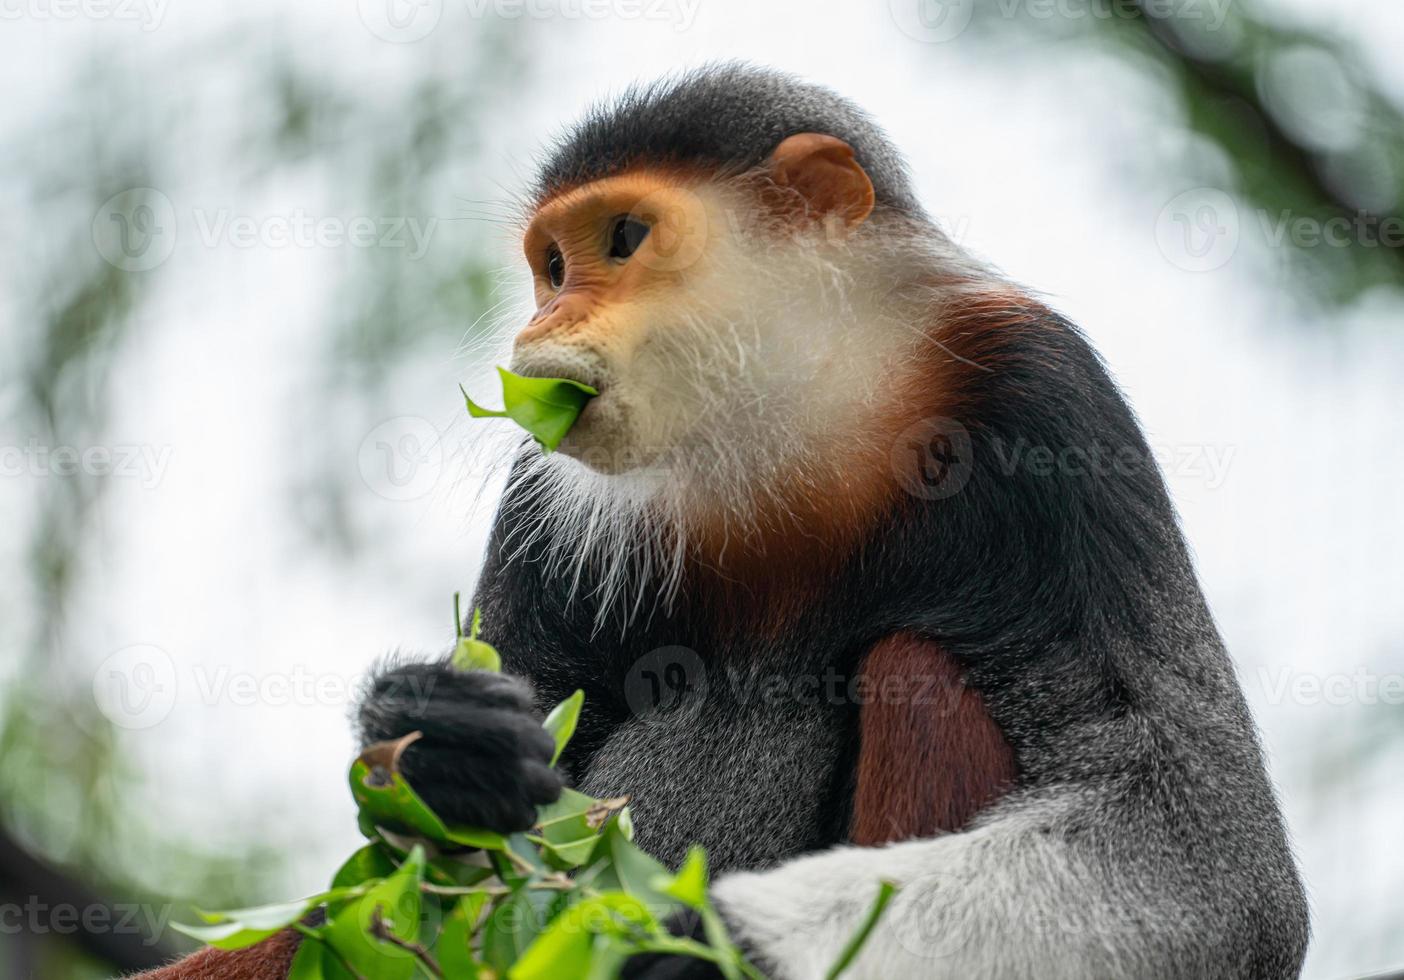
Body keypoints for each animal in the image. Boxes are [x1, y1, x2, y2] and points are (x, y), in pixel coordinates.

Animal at [131, 62, 1302, 977]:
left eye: (623, 237)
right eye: (553, 266)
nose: (546, 319)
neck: (801, 419)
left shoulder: (1044, 395)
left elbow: (1216, 871)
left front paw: (678, 944)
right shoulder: (542, 478)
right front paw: (435, 747)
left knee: (919, 666)